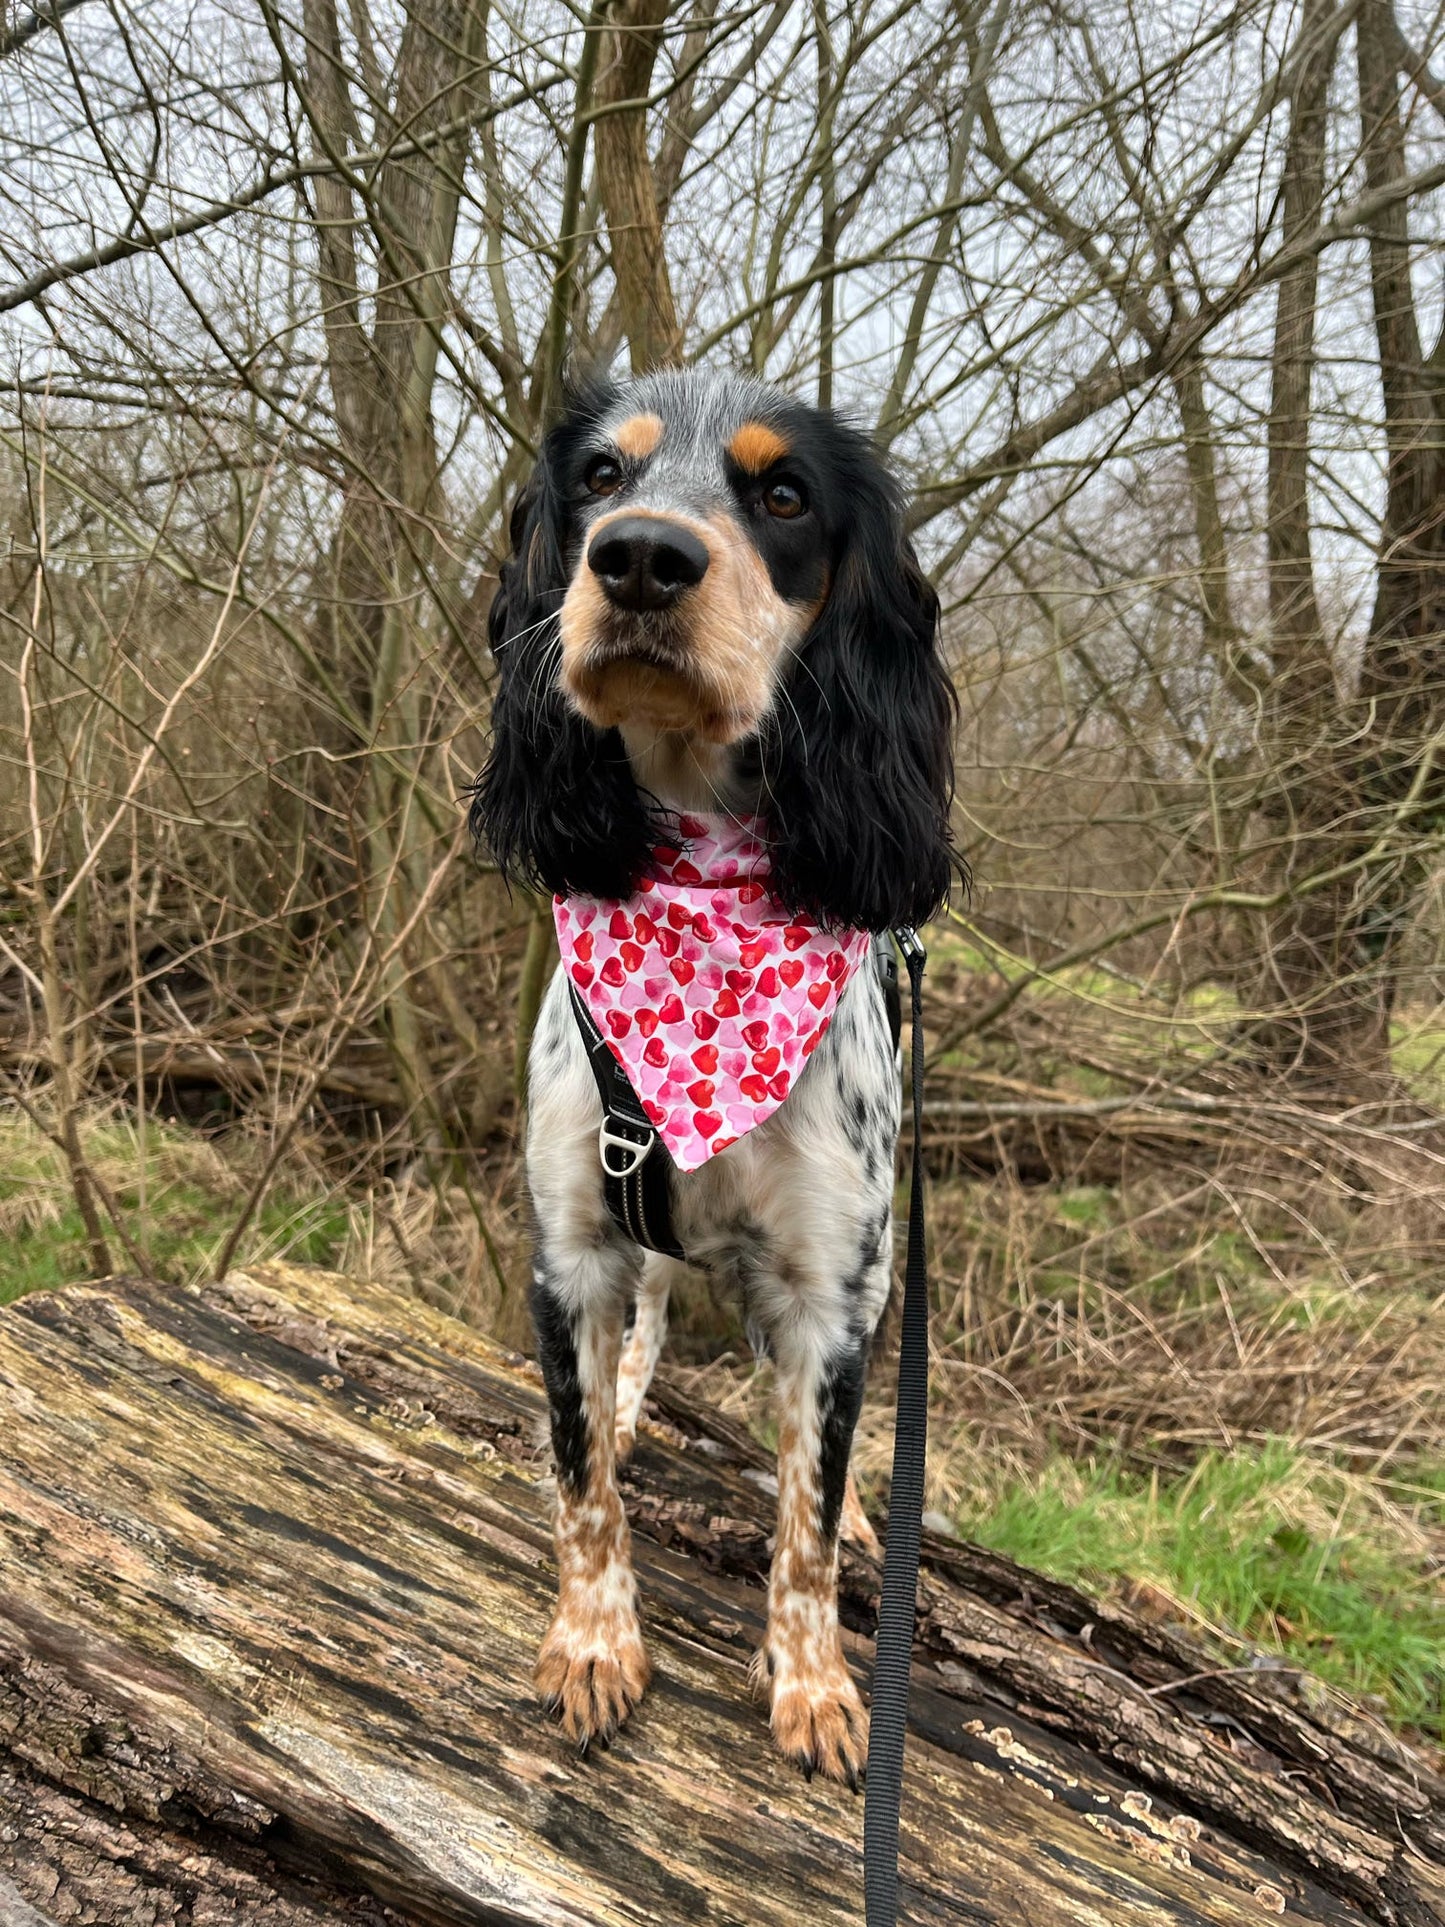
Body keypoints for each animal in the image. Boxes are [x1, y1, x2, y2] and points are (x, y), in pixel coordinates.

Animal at [470, 368, 955, 1780]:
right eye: (597, 477)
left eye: (782, 494)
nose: (638, 555)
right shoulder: (570, 1246)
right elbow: (582, 1484)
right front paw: (592, 1643)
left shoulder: (828, 1284)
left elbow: (806, 1516)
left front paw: (816, 1682)